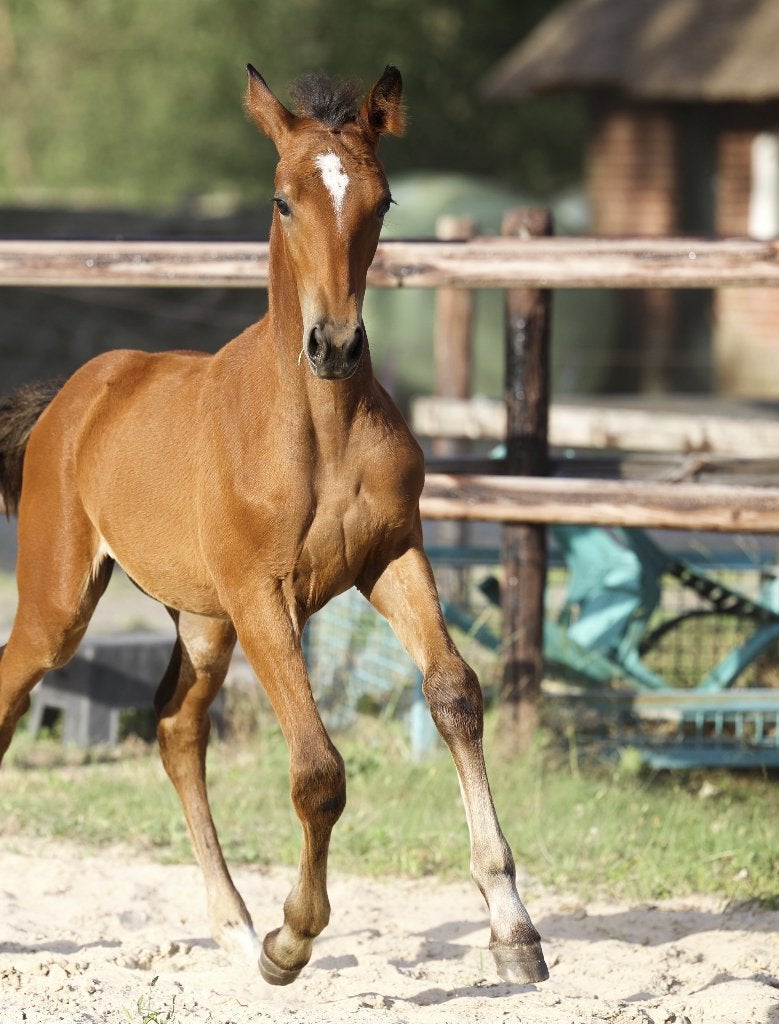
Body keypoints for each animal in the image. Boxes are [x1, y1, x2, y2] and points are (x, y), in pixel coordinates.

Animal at [0, 64, 548, 988]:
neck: (319, 426)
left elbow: (454, 694)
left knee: (176, 728)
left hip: (202, 619)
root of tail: (72, 396)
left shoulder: (392, 557)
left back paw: (228, 923)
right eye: (283, 200)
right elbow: (319, 769)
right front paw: (291, 939)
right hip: (61, 602)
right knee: (15, 688)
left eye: (383, 200)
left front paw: (514, 929)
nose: (334, 345)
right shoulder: (265, 594)